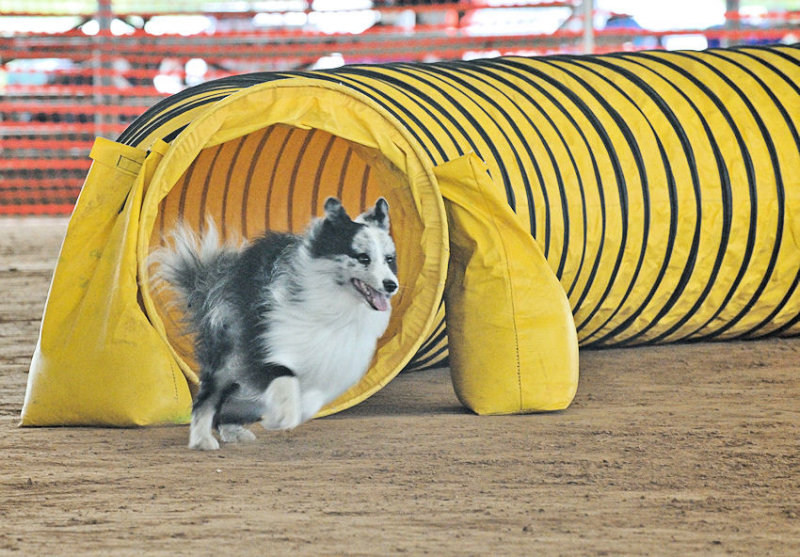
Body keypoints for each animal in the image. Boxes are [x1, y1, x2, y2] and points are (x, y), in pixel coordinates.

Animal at [152, 198, 398, 450]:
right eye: (363, 258)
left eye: (389, 259)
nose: (391, 285)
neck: (337, 307)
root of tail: (215, 280)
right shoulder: (263, 347)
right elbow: (285, 380)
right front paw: (279, 417)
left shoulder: (332, 368)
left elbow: (309, 400)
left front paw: (278, 415)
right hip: (226, 356)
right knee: (208, 397)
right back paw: (202, 439)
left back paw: (234, 431)